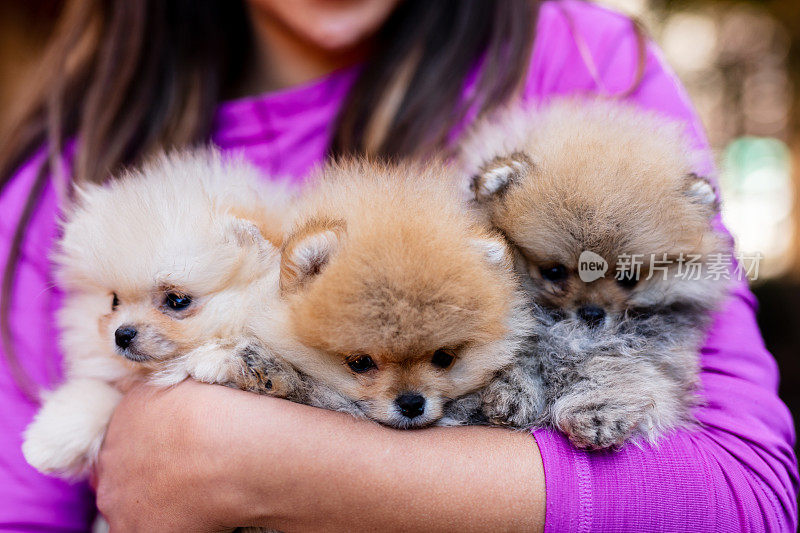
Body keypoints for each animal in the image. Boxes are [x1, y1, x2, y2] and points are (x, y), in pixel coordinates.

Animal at [24, 150, 306, 478]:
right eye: (114, 301)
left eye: (177, 300)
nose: (121, 334)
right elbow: (99, 390)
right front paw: (51, 439)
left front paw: (229, 360)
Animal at [456, 101, 732, 448]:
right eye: (554, 272)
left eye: (628, 277)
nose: (592, 315)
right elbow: (516, 355)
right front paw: (512, 392)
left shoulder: (650, 348)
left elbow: (615, 367)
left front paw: (598, 411)